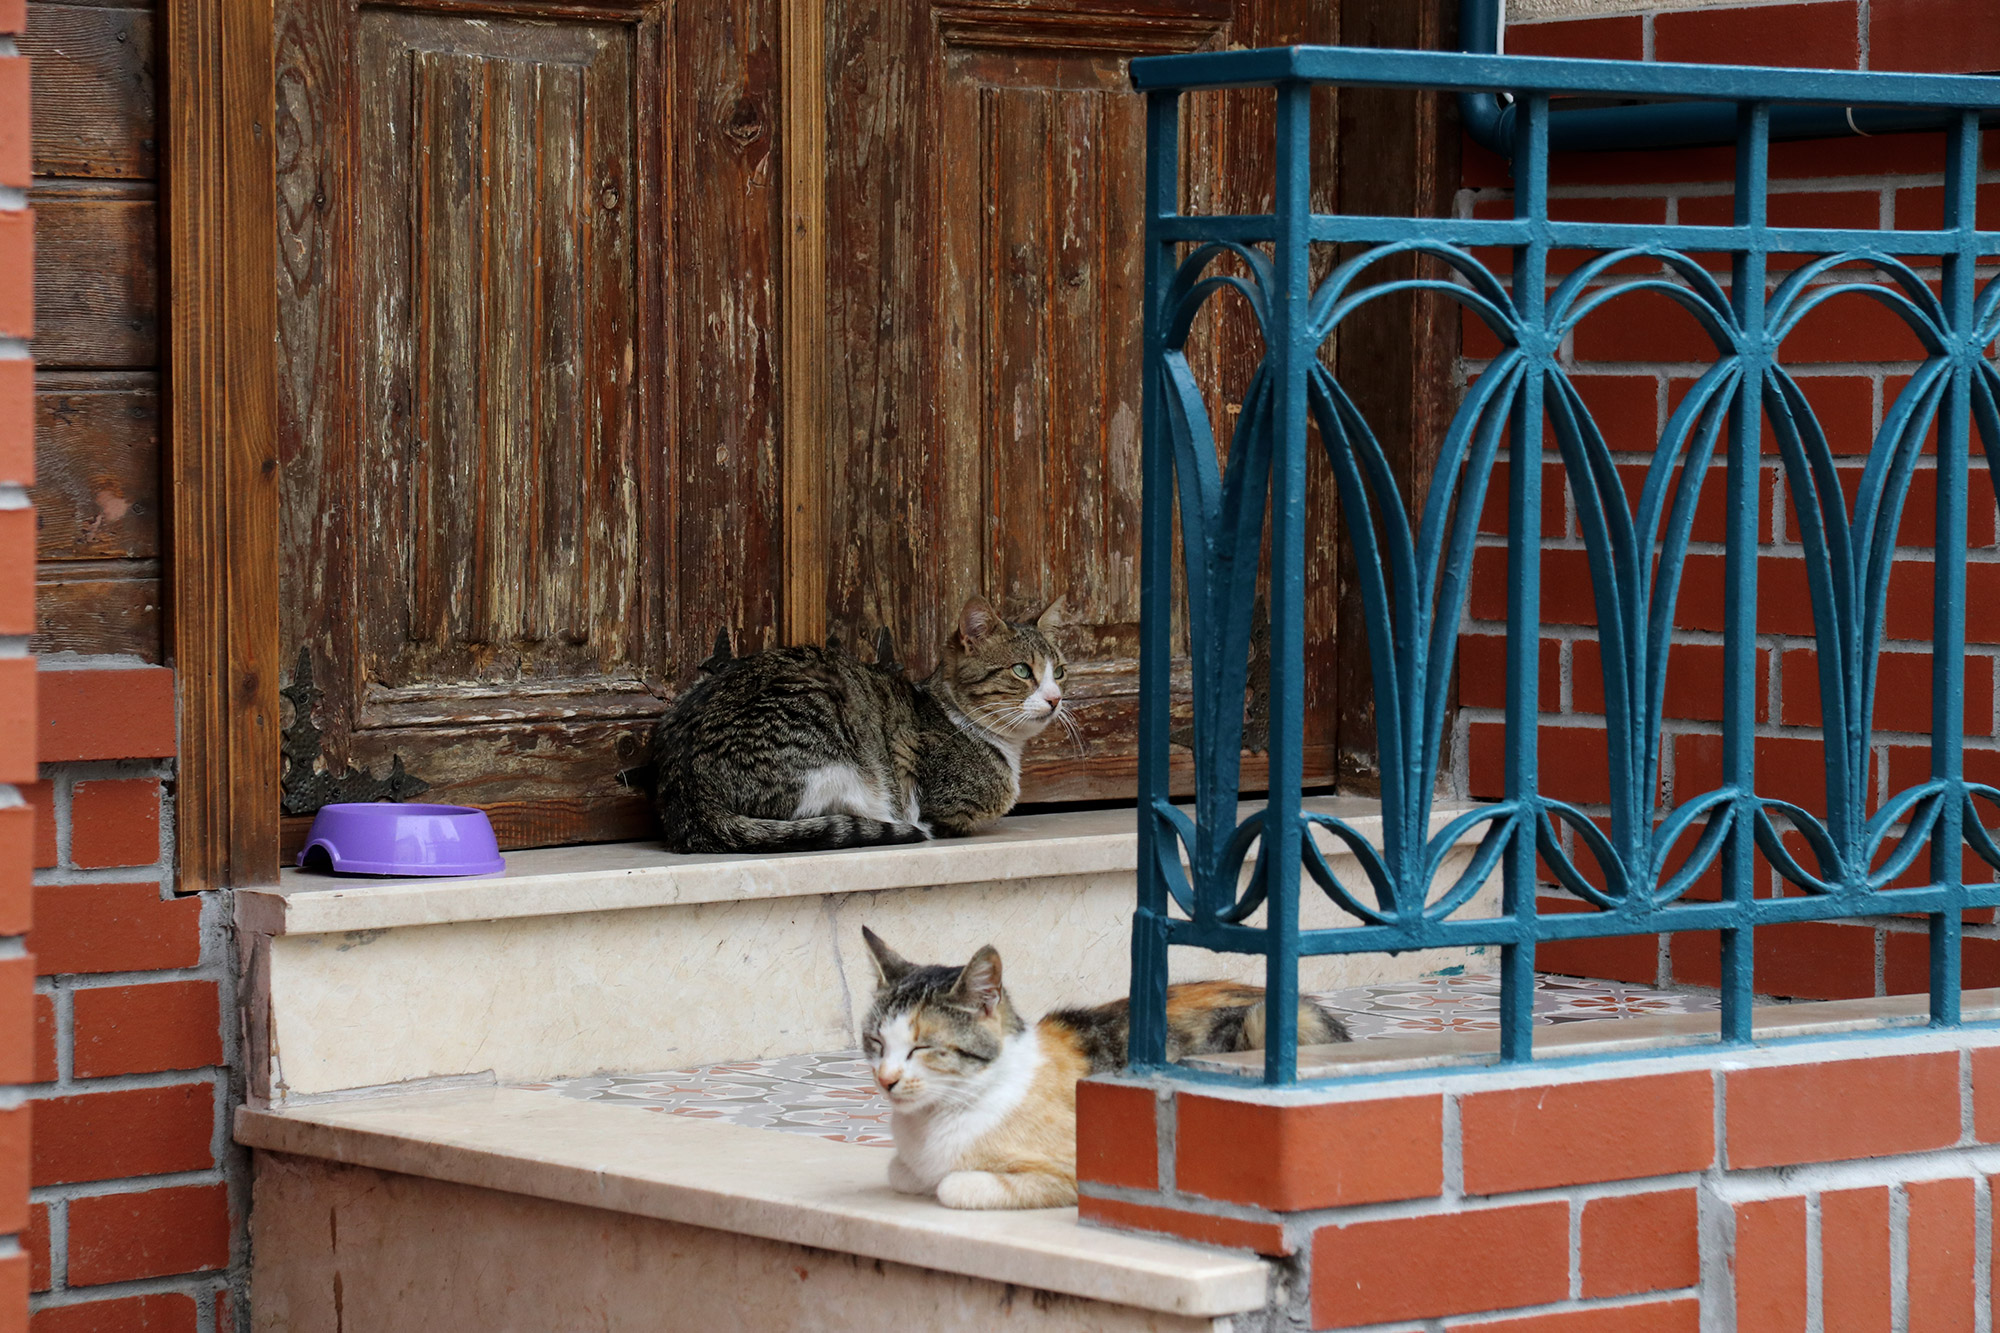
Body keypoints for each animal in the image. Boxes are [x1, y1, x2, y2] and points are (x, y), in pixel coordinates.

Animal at [652, 592, 1064, 852]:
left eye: (1058, 671)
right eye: (1022, 670)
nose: (1056, 698)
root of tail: (687, 797)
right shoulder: (941, 801)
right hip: (828, 737)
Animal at [864, 924, 1352, 1200]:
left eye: (921, 1048)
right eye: (875, 1042)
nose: (886, 1080)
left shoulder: (1077, 1168)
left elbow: (951, 1184)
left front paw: (945, 1179)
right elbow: (899, 1170)